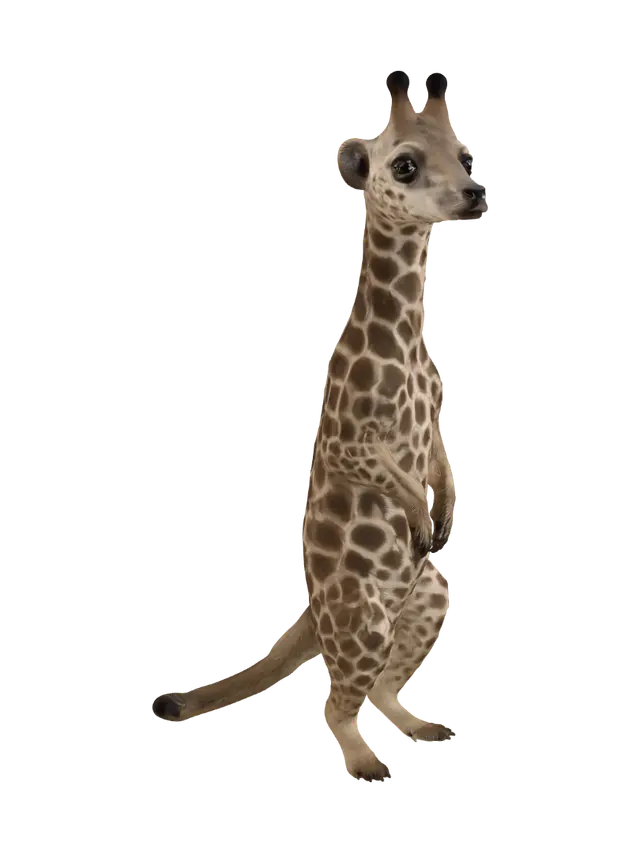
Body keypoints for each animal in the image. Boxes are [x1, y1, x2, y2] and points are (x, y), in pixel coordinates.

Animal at [152, 71, 488, 783]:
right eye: (405, 164)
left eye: (468, 157)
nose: (475, 196)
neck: (408, 347)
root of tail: (313, 612)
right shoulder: (348, 439)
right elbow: (388, 470)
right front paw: (420, 517)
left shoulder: (439, 415)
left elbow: (443, 462)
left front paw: (441, 518)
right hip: (365, 619)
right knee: (335, 702)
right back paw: (366, 763)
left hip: (428, 595)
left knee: (382, 685)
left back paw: (423, 725)